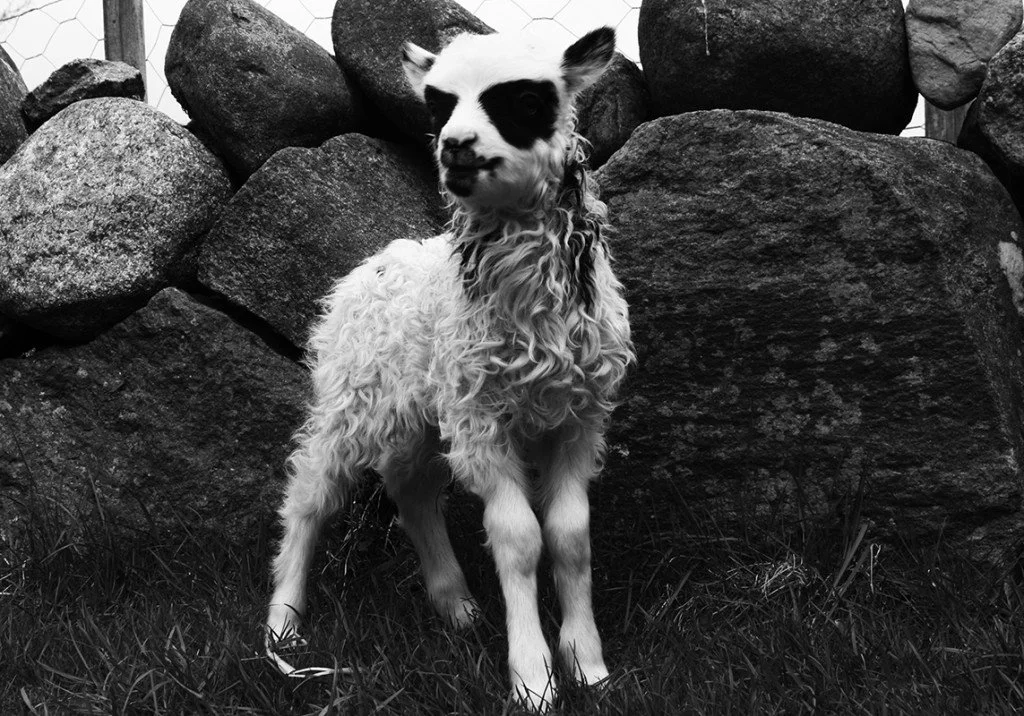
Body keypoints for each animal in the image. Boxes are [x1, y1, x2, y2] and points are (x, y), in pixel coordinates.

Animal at [266, 26, 634, 712]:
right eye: (437, 105)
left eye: (524, 99)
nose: (455, 146)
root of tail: (376, 260)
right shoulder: (483, 418)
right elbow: (519, 539)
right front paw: (533, 678)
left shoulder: (579, 417)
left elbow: (571, 536)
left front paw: (588, 665)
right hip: (354, 400)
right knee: (309, 497)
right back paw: (282, 628)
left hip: (422, 415)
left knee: (410, 492)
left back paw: (457, 608)